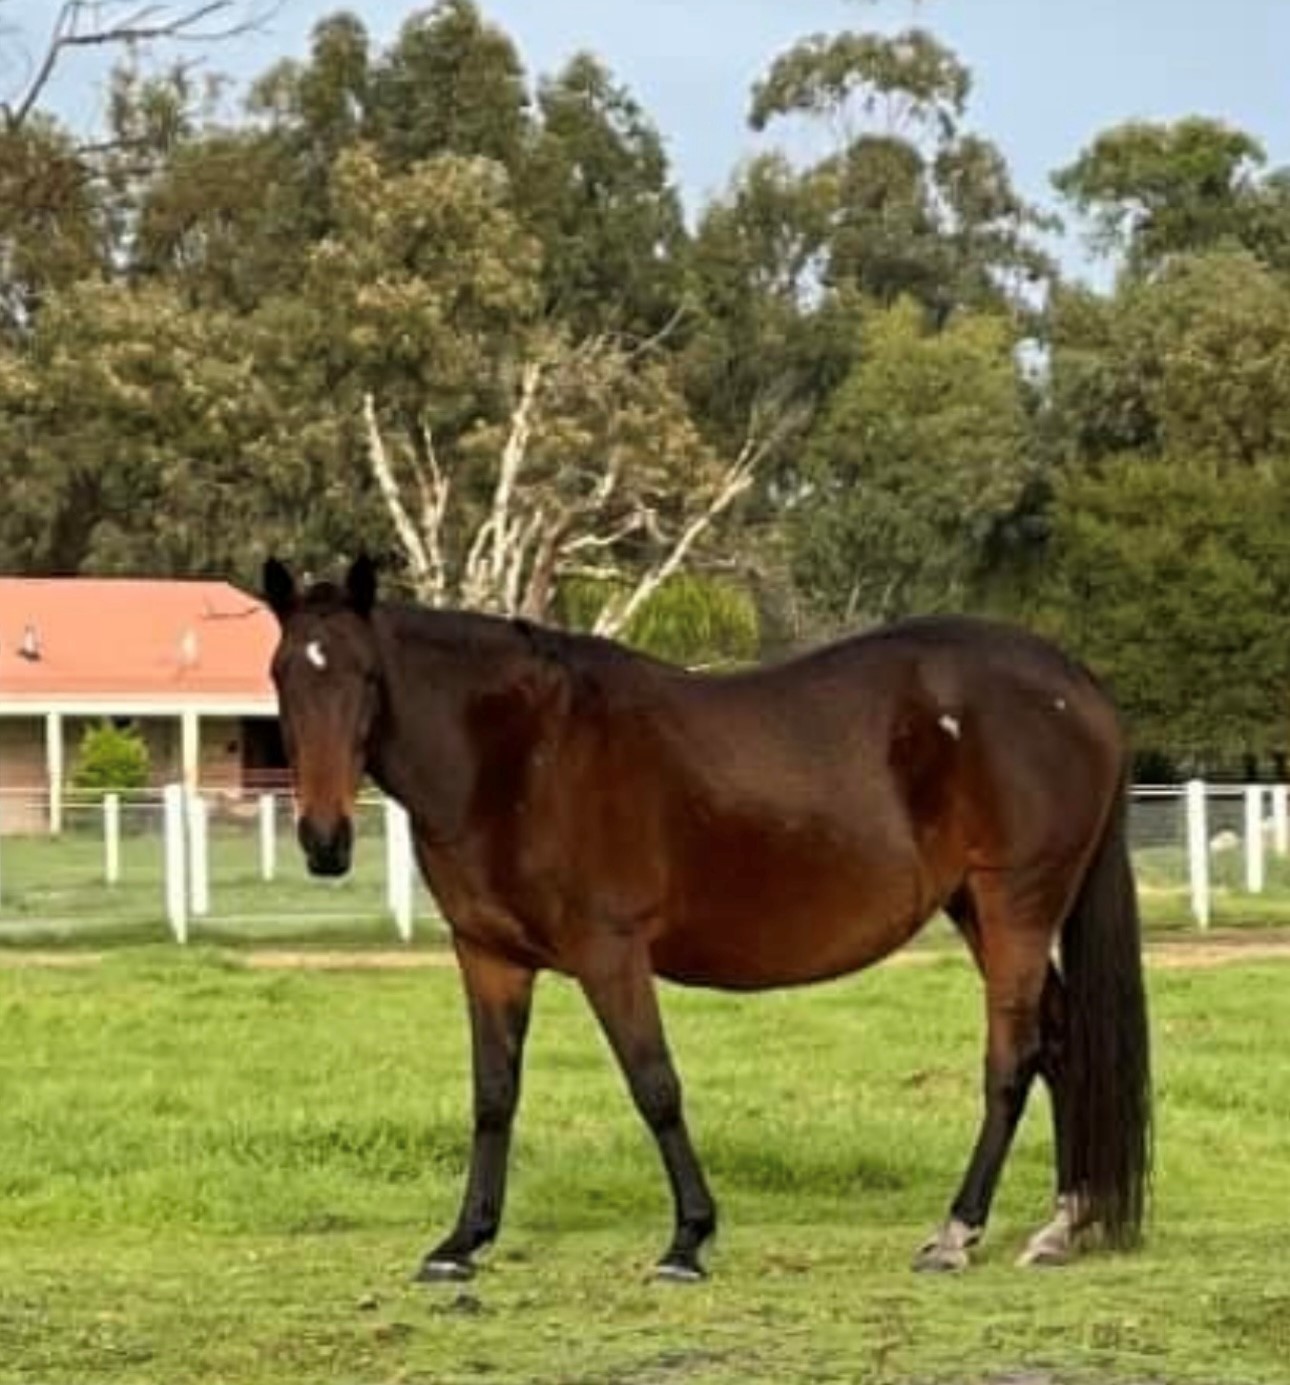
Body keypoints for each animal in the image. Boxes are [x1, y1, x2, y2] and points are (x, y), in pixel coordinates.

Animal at [261, 555, 1151, 1283]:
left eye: (365, 677)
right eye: (281, 677)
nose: (324, 839)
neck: (517, 753)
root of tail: (1078, 687)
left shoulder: (610, 952)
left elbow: (655, 1085)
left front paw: (688, 1239)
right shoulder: (489, 956)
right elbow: (493, 1094)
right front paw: (461, 1242)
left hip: (1016, 905)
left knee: (1014, 1057)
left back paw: (957, 1233)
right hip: (979, 908)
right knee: (1063, 1044)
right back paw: (1064, 1224)